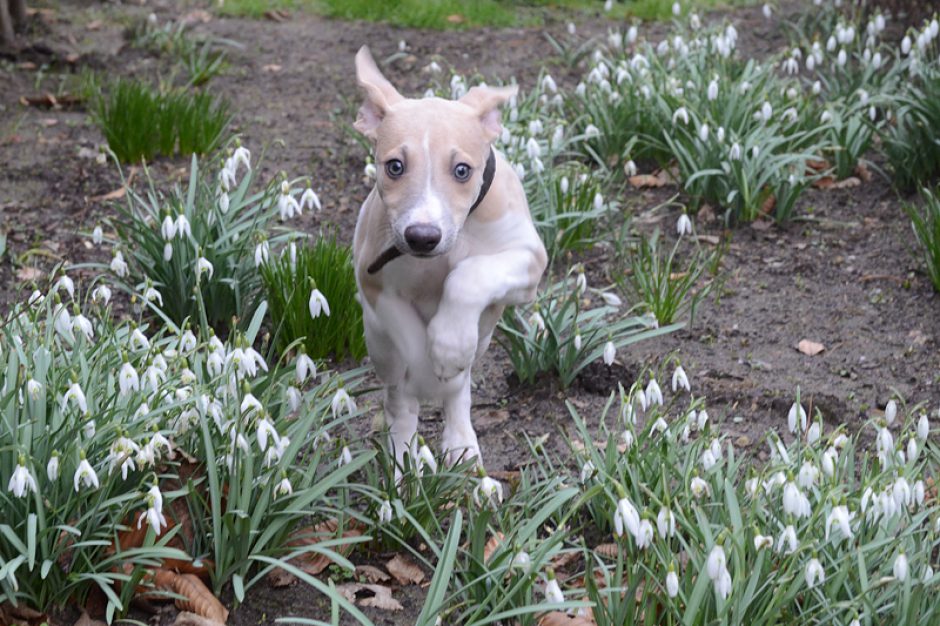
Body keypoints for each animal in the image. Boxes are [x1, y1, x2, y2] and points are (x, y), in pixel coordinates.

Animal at [350, 46, 544, 468]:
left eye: (462, 170)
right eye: (394, 167)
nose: (422, 237)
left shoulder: (529, 260)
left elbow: (469, 274)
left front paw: (449, 344)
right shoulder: (374, 282)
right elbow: (409, 335)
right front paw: (430, 367)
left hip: (484, 337)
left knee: (461, 389)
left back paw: (460, 442)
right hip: (377, 343)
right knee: (397, 395)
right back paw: (403, 453)